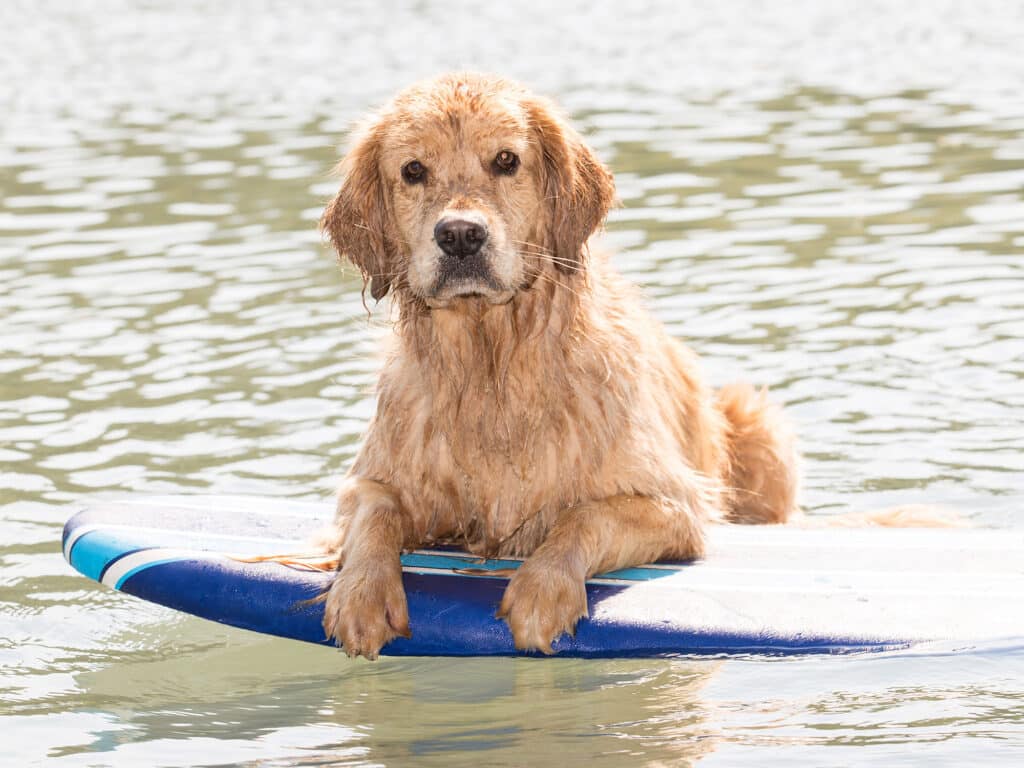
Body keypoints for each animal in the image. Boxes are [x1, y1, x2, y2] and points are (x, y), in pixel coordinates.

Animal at [315, 72, 811, 659]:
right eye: (413, 171)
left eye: (506, 160)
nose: (459, 236)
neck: (493, 367)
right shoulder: (373, 478)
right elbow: (376, 510)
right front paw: (362, 592)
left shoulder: (675, 506)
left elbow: (582, 514)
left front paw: (543, 588)